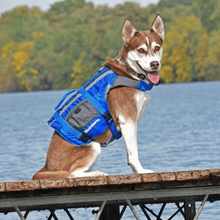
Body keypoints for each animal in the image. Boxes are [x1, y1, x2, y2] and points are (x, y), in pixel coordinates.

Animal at [32, 13, 163, 180]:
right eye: (141, 50)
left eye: (157, 48)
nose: (154, 64)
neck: (129, 72)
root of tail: (46, 167)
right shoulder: (128, 120)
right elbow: (134, 153)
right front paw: (141, 171)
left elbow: (130, 154)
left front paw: (136, 172)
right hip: (93, 146)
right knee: (72, 173)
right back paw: (97, 173)